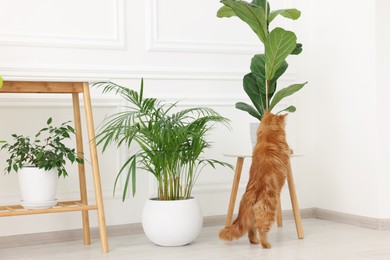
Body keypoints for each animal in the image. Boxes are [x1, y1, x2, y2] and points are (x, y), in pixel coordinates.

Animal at [219, 110, 290, 249]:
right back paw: (266, 244)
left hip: (250, 215)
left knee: (251, 230)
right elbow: (290, 150)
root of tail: (253, 193)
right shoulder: (287, 150)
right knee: (261, 229)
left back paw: (255, 241)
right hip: (268, 211)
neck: (268, 133)